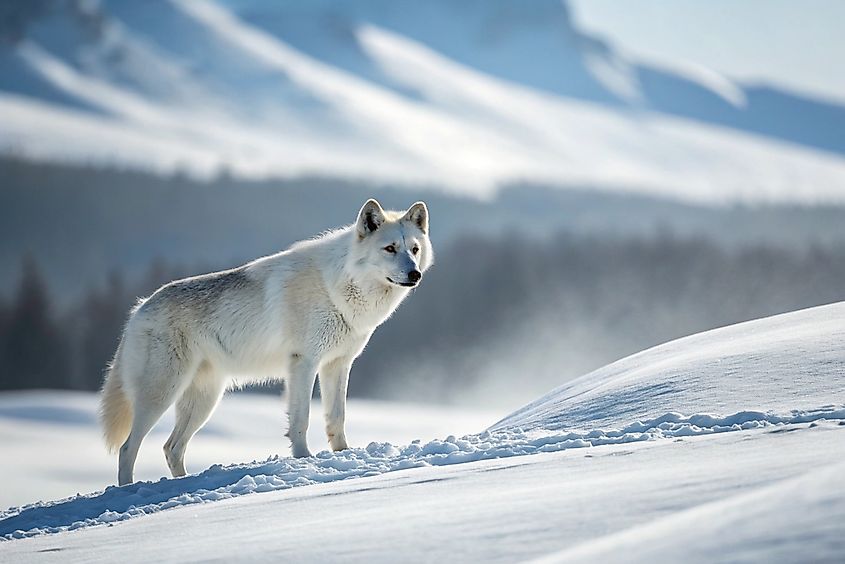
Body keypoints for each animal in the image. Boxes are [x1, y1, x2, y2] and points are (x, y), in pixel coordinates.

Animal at [99, 199, 433, 485]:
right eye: (390, 248)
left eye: (414, 249)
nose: (414, 274)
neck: (340, 286)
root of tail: (138, 309)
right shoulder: (304, 363)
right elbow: (301, 420)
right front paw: (304, 459)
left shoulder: (338, 364)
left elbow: (336, 419)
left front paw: (343, 457)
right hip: (161, 395)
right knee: (128, 448)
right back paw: (127, 491)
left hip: (204, 400)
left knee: (171, 448)